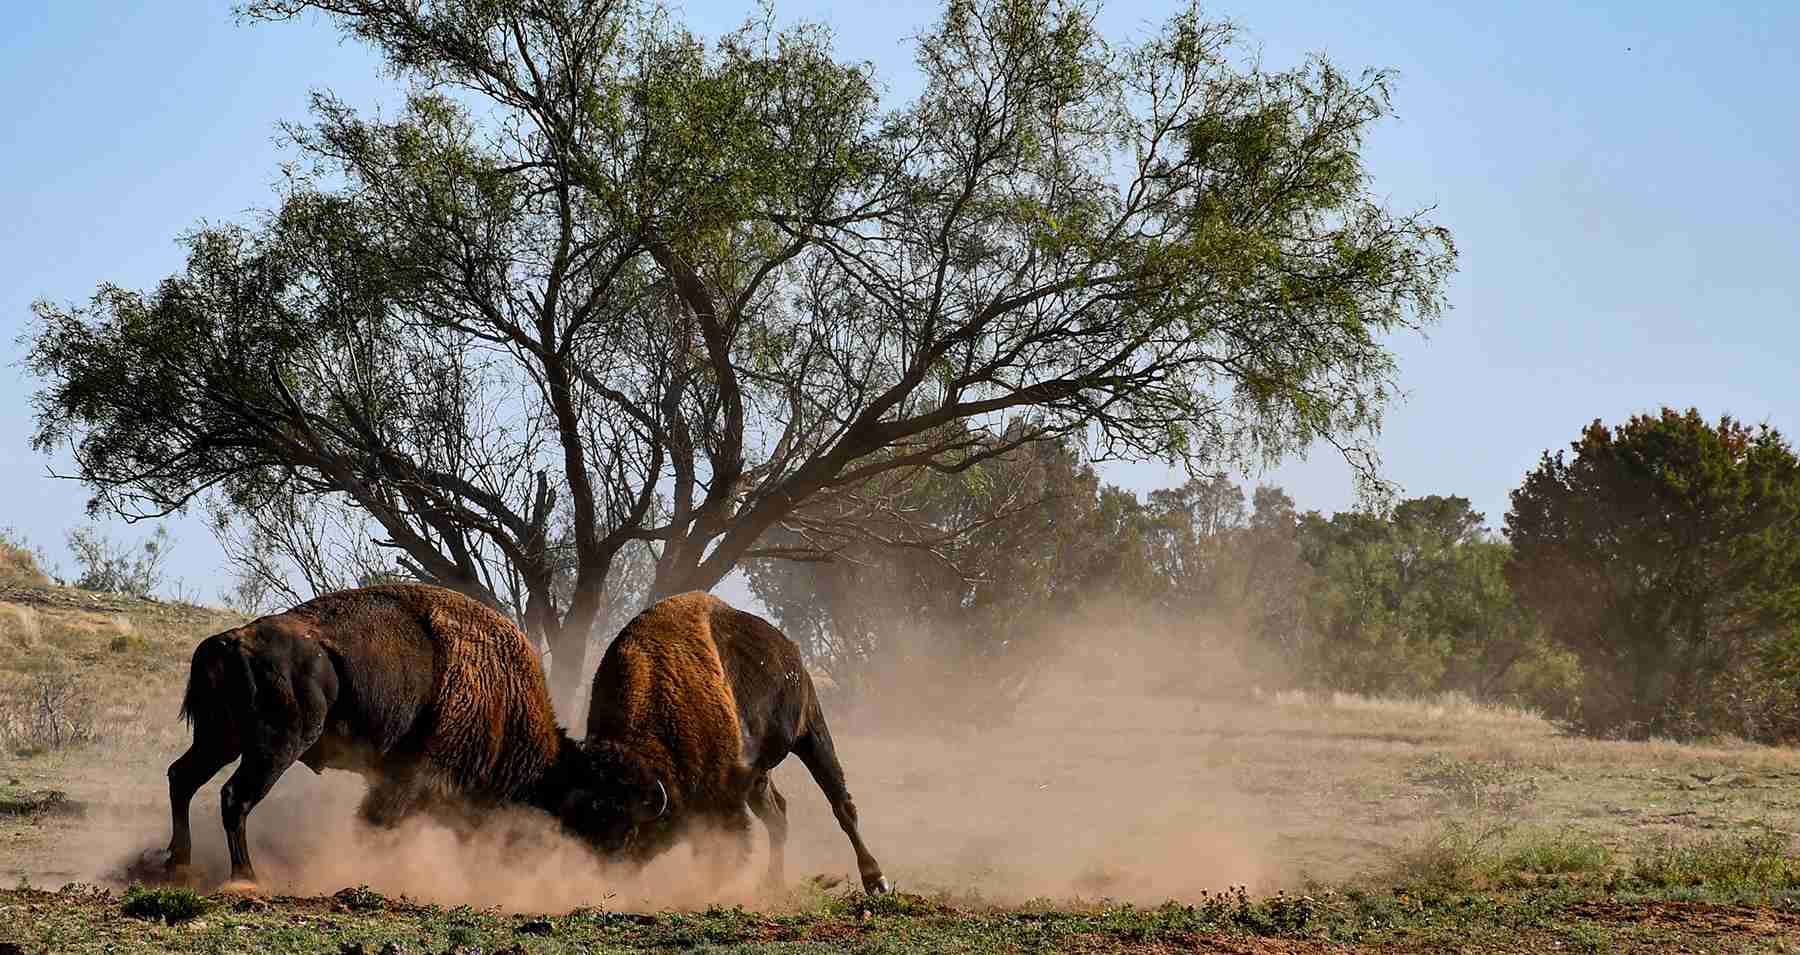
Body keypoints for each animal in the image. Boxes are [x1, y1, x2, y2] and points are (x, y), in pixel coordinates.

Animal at [160, 582, 655, 888]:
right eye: (603, 811)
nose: (607, 867)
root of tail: (230, 641)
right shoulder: (415, 780)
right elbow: (378, 824)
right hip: (273, 746)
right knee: (234, 797)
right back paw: (246, 879)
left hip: (220, 740)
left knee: (182, 778)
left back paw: (177, 864)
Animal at [579, 589, 889, 895]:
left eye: (631, 833)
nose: (611, 878)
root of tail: (791, 651)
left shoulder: (724, 798)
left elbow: (724, 847)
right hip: (760, 775)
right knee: (778, 816)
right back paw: (772, 884)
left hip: (811, 732)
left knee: (841, 805)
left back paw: (875, 879)